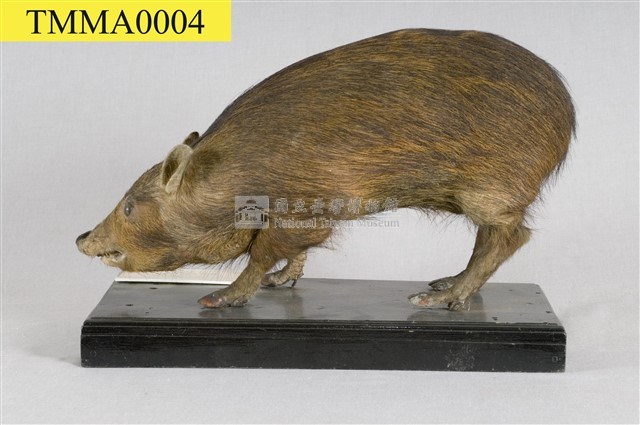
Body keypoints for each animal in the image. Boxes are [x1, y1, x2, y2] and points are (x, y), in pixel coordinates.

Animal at [76, 29, 575, 310]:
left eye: (129, 206)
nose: (80, 237)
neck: (233, 180)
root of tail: (567, 114)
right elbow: (287, 254)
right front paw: (280, 283)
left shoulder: (306, 208)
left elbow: (264, 254)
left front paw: (218, 299)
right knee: (491, 239)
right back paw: (443, 281)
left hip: (490, 189)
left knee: (510, 236)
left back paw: (433, 298)